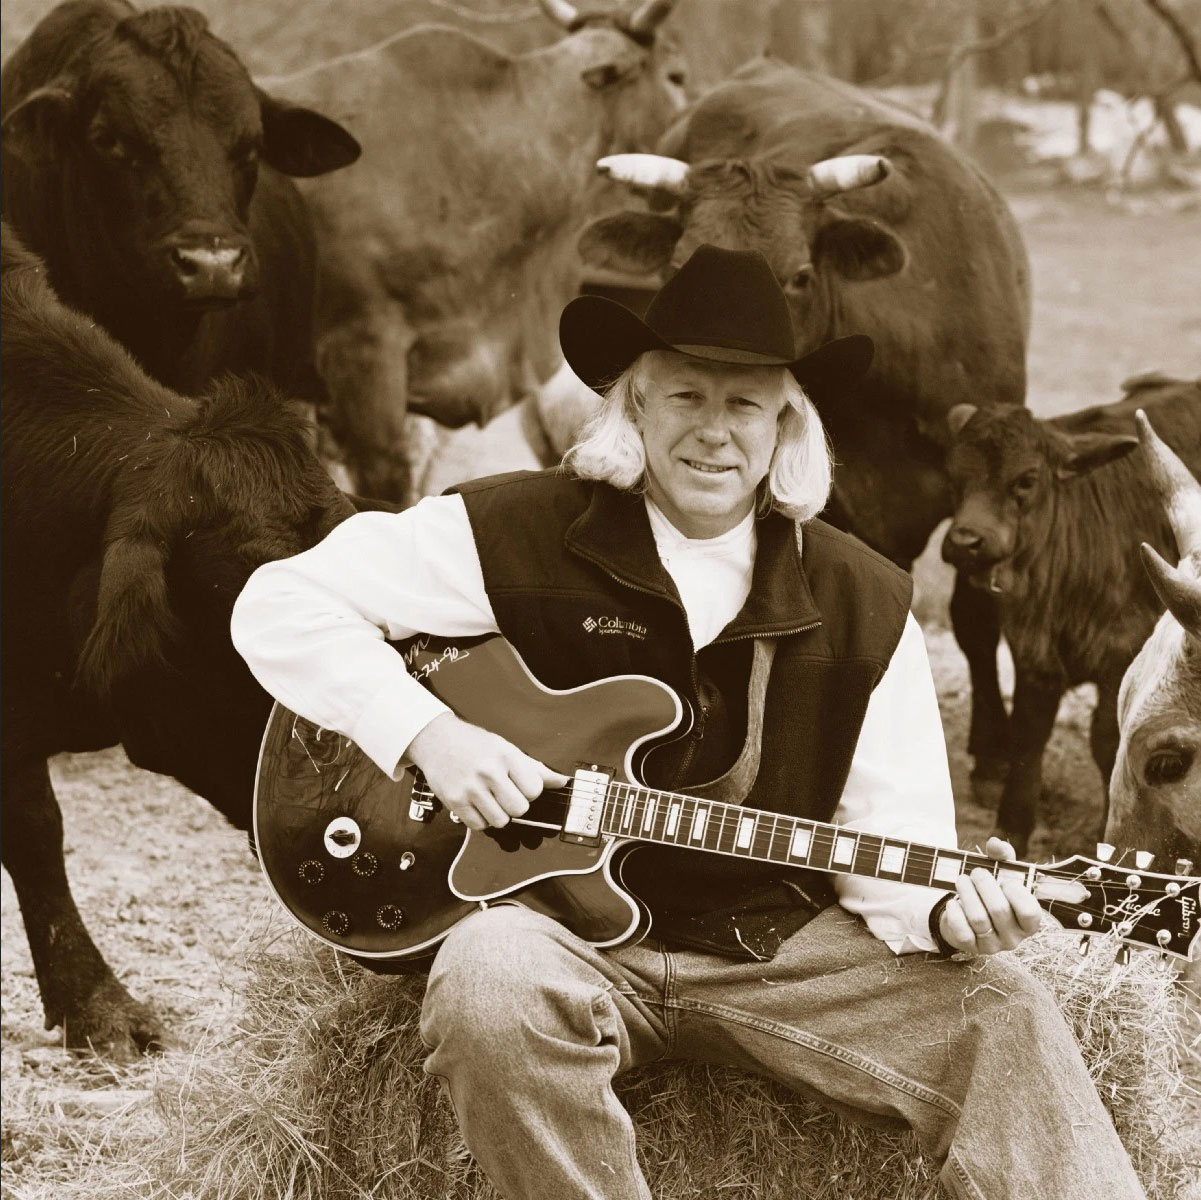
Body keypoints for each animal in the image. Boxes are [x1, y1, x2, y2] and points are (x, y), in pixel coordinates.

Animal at [941, 374, 1201, 855]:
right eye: (953, 476)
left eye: (1027, 480)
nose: (966, 541)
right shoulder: (1034, 656)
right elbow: (1029, 734)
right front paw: (1010, 828)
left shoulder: (1120, 653)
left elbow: (1103, 738)